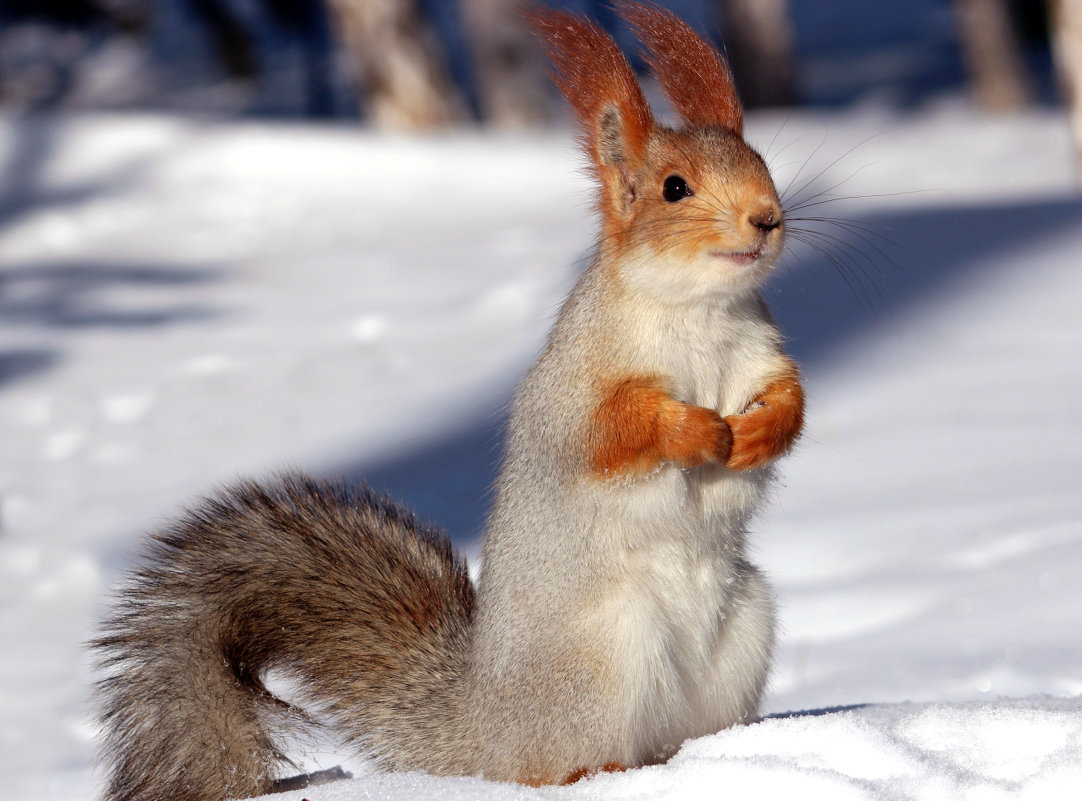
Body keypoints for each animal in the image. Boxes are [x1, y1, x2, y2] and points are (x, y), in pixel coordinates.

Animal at [90, 3, 805, 796]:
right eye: (674, 188)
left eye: (763, 165)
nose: (767, 218)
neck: (700, 311)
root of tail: (483, 730)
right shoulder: (576, 387)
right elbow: (611, 432)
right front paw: (700, 429)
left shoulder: (761, 351)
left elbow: (790, 397)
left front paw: (760, 432)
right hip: (613, 652)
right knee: (560, 763)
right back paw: (606, 767)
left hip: (746, 626)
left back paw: (728, 754)